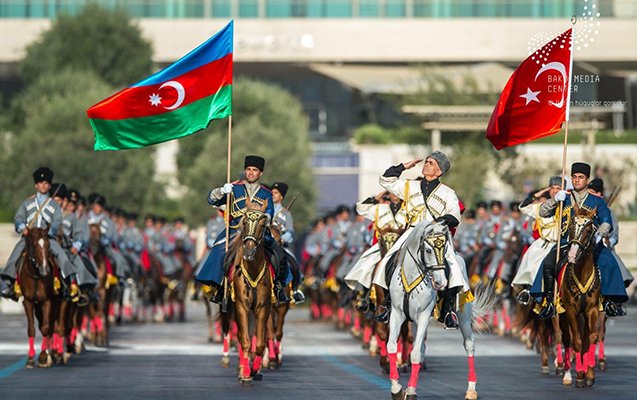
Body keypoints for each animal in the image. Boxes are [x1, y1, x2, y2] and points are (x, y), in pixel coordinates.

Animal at [18, 227, 56, 368]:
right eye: (34, 245)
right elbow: (31, 329)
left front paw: (43, 357)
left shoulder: (47, 301)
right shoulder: (28, 302)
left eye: (48, 245)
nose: (45, 270)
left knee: (52, 326)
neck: (36, 276)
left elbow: (45, 328)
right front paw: (30, 358)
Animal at [386, 220, 494, 400]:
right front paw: (397, 389)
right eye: (428, 250)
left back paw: (471, 389)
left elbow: (415, 354)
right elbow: (392, 347)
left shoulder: (423, 315)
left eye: (444, 249)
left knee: (469, 344)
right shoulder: (397, 313)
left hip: (463, 315)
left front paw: (411, 391)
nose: (440, 282)